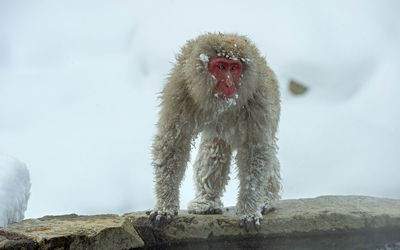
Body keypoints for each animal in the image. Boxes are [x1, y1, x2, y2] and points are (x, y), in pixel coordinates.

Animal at [150, 32, 282, 230]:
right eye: (220, 66)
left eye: (234, 68)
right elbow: (174, 142)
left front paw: (250, 210)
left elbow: (255, 150)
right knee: (215, 147)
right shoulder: (181, 91)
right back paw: (207, 201)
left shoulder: (259, 98)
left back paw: (267, 199)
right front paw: (165, 206)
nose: (228, 84)